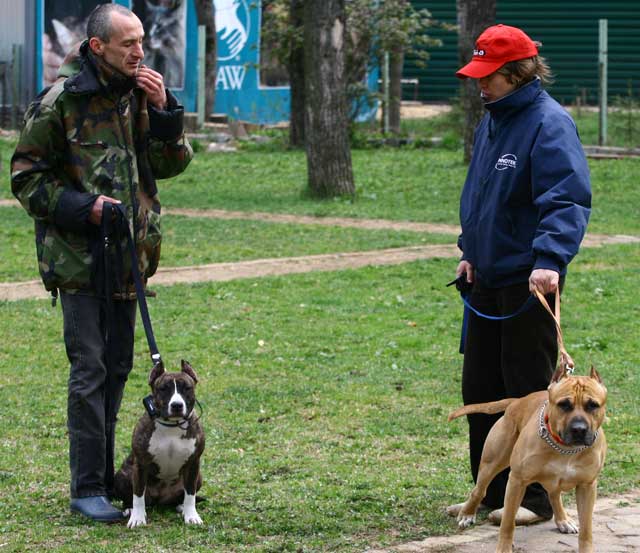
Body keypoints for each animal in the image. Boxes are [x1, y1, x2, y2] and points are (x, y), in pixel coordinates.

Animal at [448, 366, 608, 552]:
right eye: (563, 404)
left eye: (593, 405)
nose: (579, 429)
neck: (565, 449)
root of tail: (517, 402)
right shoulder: (517, 481)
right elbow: (507, 523)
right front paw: (504, 548)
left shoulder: (587, 486)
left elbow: (586, 529)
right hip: (491, 463)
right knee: (479, 491)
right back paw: (467, 514)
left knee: (553, 494)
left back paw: (563, 520)